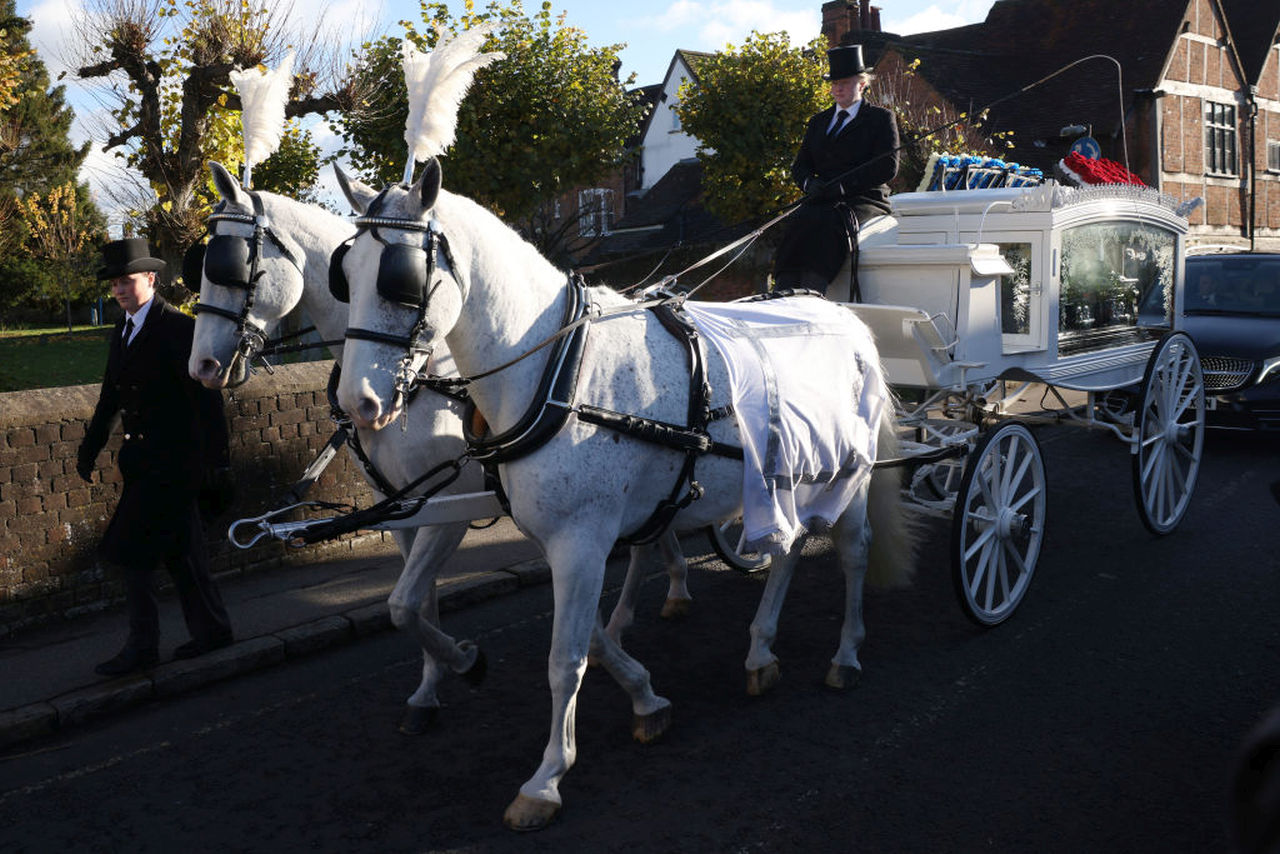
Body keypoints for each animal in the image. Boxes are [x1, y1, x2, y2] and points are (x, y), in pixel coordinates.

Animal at [185, 161, 696, 737]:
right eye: (345, 274)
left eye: (231, 265)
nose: (202, 366)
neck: (421, 377)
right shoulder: (402, 508)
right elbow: (416, 605)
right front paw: (430, 688)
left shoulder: (449, 507)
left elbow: (406, 604)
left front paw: (465, 662)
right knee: (652, 532)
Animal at [330, 158, 911, 829]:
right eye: (344, 274)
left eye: (399, 278)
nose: (356, 402)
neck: (558, 367)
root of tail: (846, 319)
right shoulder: (561, 538)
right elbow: (590, 638)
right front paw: (643, 696)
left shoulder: (580, 539)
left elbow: (565, 658)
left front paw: (546, 778)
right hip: (783, 476)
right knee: (787, 549)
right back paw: (761, 652)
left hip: (850, 471)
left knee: (854, 550)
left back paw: (846, 654)